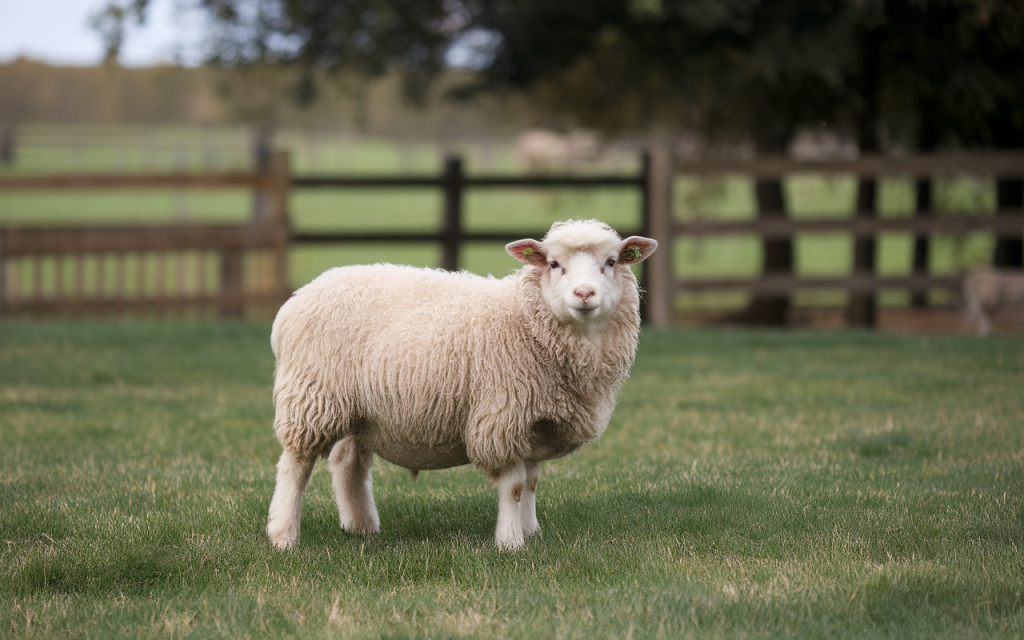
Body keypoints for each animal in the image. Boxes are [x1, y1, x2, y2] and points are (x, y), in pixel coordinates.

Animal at [266, 219, 657, 551]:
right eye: (554, 264)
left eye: (610, 262)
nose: (584, 294)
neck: (525, 320)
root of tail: (297, 299)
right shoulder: (502, 417)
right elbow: (515, 486)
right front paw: (511, 542)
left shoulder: (538, 421)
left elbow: (532, 482)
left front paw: (532, 531)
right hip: (312, 396)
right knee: (295, 466)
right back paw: (283, 536)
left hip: (361, 408)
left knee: (349, 464)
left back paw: (361, 527)